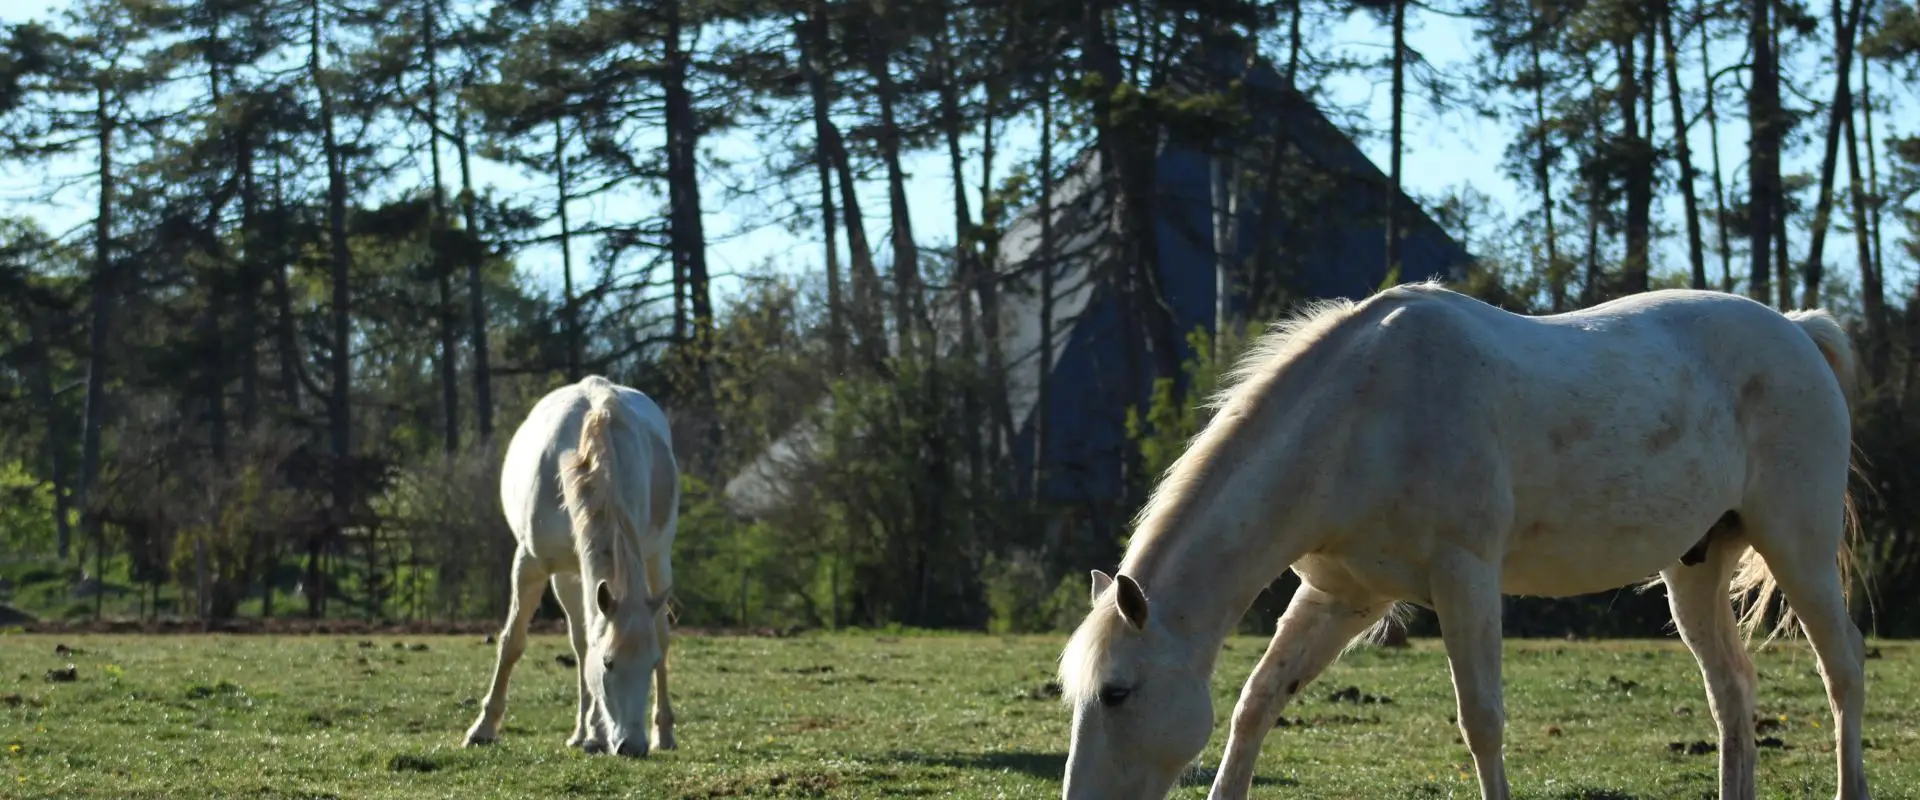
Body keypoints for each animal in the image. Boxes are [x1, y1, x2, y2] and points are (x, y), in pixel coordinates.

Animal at [462, 375, 681, 757]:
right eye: (608, 662)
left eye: (650, 663)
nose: (632, 746)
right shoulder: (529, 565)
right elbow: (513, 641)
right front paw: (483, 729)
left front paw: (600, 733)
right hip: (567, 576)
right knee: (580, 642)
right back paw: (582, 731)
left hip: (656, 561)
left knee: (658, 633)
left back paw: (656, 733)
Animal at [1057, 282, 1868, 800]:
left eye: (1117, 693)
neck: (1362, 415)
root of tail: (1797, 329)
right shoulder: (1340, 596)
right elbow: (1258, 699)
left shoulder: (1465, 578)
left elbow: (1482, 722)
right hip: (1694, 571)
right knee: (1732, 692)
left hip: (1799, 549)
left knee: (1843, 668)